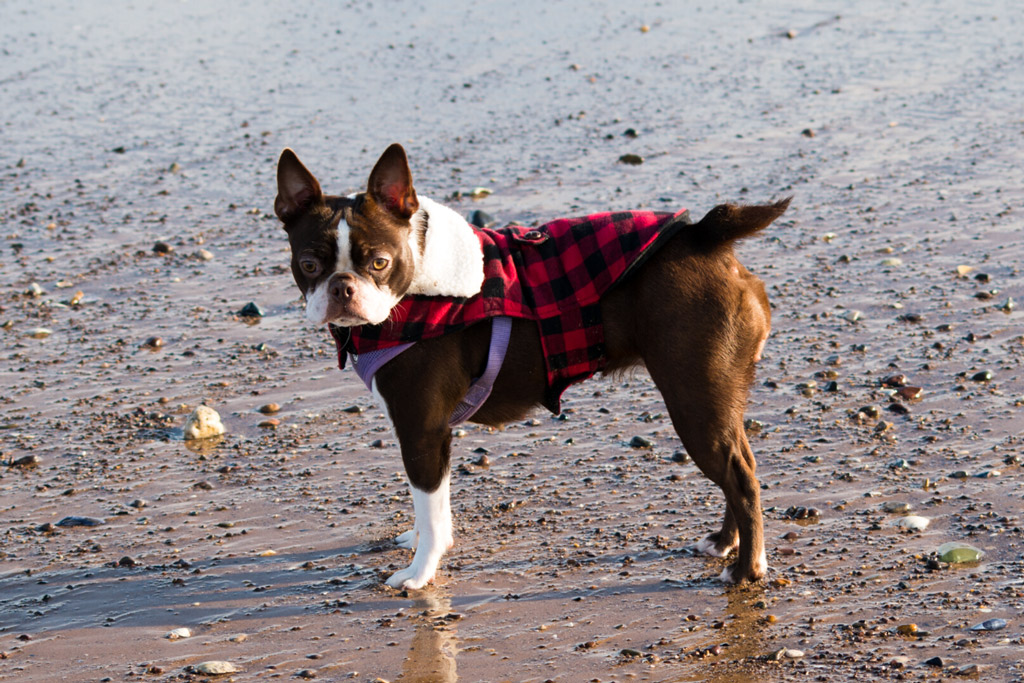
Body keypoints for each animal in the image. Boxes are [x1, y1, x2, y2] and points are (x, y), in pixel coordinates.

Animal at [274, 145, 790, 593]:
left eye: (380, 263)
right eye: (309, 264)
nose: (343, 287)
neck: (413, 290)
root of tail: (703, 236)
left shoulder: (421, 430)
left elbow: (432, 509)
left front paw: (420, 572)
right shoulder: (424, 436)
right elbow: (429, 505)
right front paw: (418, 542)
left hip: (693, 398)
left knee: (741, 478)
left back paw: (747, 570)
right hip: (716, 398)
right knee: (740, 464)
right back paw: (723, 543)